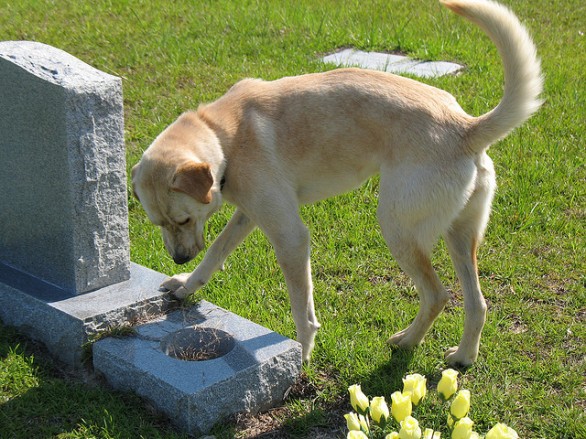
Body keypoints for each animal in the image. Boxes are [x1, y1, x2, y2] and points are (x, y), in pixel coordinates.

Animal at [131, 0, 540, 368]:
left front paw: (301, 356)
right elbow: (214, 254)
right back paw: (463, 356)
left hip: (397, 229)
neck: (223, 135)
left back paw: (408, 342)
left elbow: (302, 310)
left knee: (438, 295)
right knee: (476, 303)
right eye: (157, 223)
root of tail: (465, 127)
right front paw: (186, 284)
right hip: (459, 238)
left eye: (183, 220)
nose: (178, 258)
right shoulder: (249, 216)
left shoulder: (291, 237)